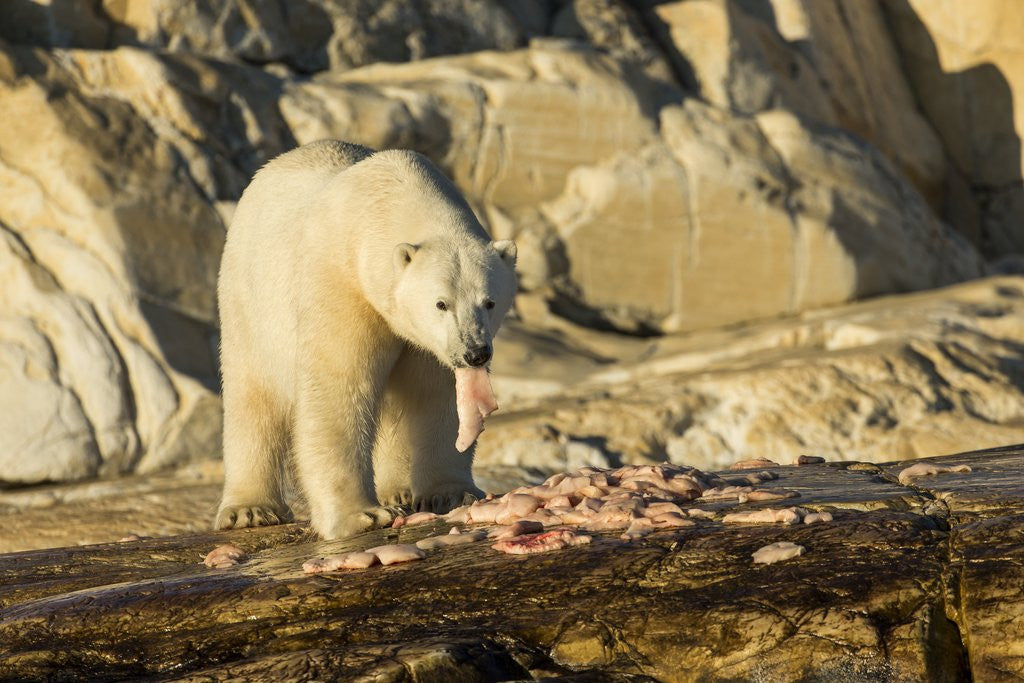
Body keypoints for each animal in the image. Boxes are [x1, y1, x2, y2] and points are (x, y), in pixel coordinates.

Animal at [214, 140, 517, 539]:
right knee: (252, 398)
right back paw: (249, 509)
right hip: (249, 302)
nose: (475, 353)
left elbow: (433, 395)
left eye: (490, 301)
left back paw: (398, 489)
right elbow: (340, 387)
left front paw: (451, 494)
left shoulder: (422, 341)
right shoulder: (342, 284)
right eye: (441, 303)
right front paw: (361, 515)